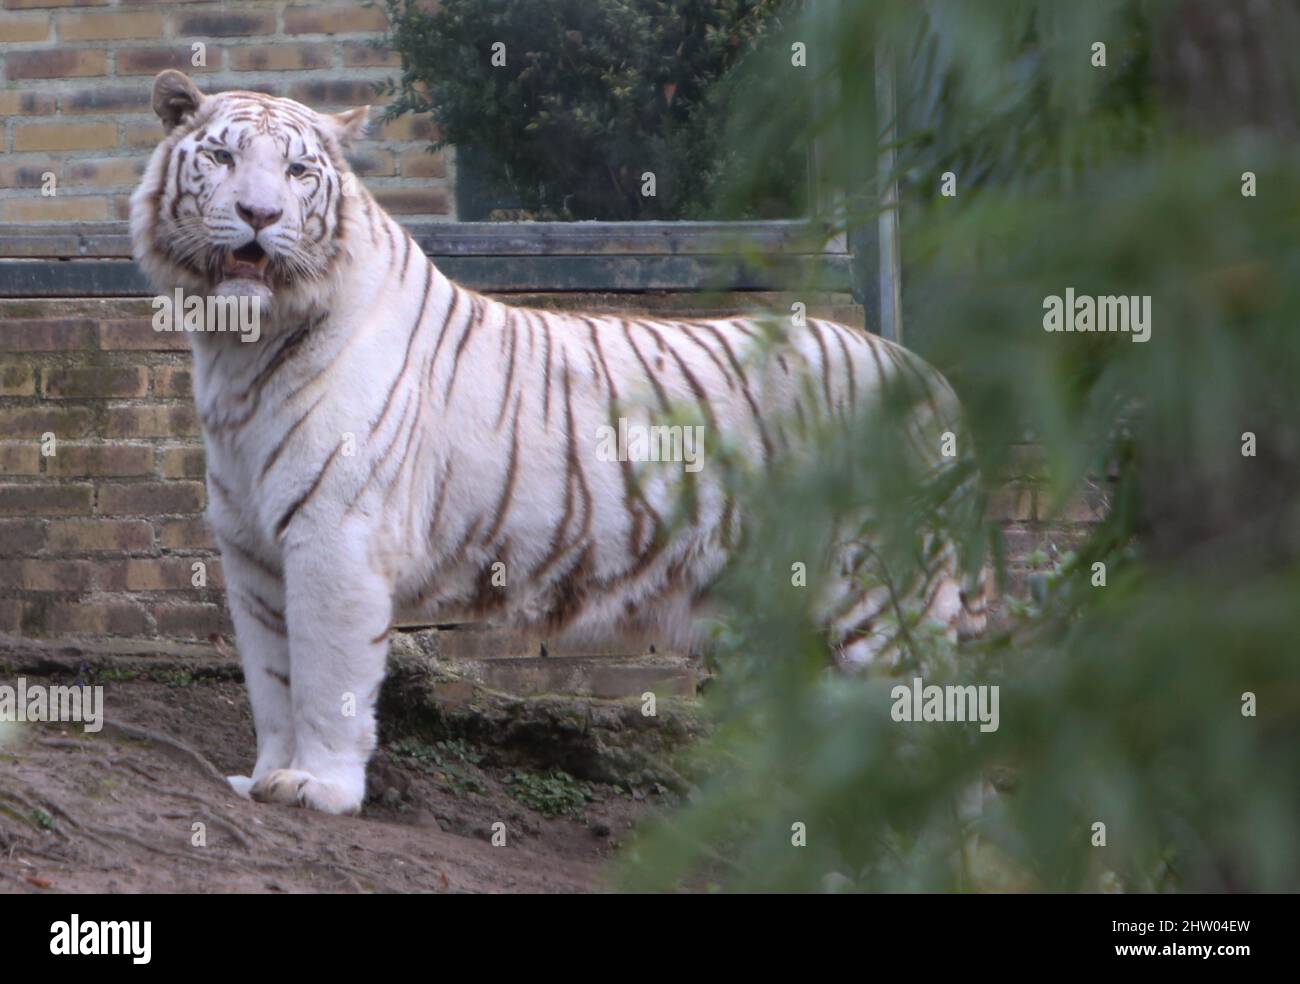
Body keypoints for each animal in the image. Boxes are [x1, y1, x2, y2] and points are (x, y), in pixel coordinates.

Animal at [131, 71, 982, 816]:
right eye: (222, 158)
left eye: (299, 170)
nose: (259, 214)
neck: (241, 350)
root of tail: (935, 380)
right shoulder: (250, 551)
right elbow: (272, 680)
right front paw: (265, 778)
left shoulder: (335, 537)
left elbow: (325, 679)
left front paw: (321, 788)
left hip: (883, 598)